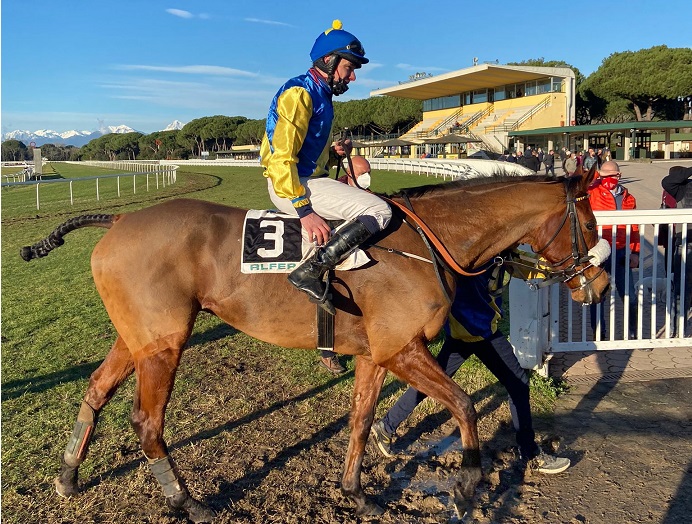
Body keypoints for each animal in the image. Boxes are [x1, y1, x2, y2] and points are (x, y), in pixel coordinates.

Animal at [18, 167, 608, 520]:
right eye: (588, 219)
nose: (600, 284)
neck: (427, 241)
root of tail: (120, 217)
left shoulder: (377, 355)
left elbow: (362, 419)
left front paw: (356, 492)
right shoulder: (402, 349)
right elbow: (464, 405)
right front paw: (465, 486)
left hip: (137, 338)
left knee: (95, 391)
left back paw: (68, 477)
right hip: (165, 344)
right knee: (146, 422)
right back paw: (188, 501)